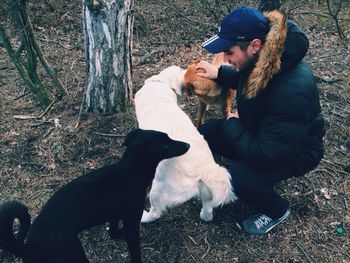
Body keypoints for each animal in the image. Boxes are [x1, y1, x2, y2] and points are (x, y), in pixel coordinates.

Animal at [0, 129, 190, 263]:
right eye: (166, 145)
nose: (188, 145)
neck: (129, 172)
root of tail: (30, 246)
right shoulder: (131, 223)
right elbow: (135, 251)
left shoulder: (115, 214)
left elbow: (113, 228)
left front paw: (116, 234)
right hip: (75, 255)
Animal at [134, 66, 238, 223]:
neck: (162, 83)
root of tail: (205, 169)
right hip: (205, 189)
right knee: (208, 209)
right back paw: (204, 215)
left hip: (157, 188)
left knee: (155, 212)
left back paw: (144, 217)